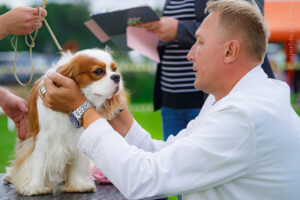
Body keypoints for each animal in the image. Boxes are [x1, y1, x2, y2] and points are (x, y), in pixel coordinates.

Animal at [4, 48, 127, 195]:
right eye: (98, 71)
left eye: (114, 69)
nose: (117, 77)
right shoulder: (42, 138)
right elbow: (38, 161)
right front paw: (35, 186)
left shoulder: (77, 138)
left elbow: (76, 163)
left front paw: (78, 184)